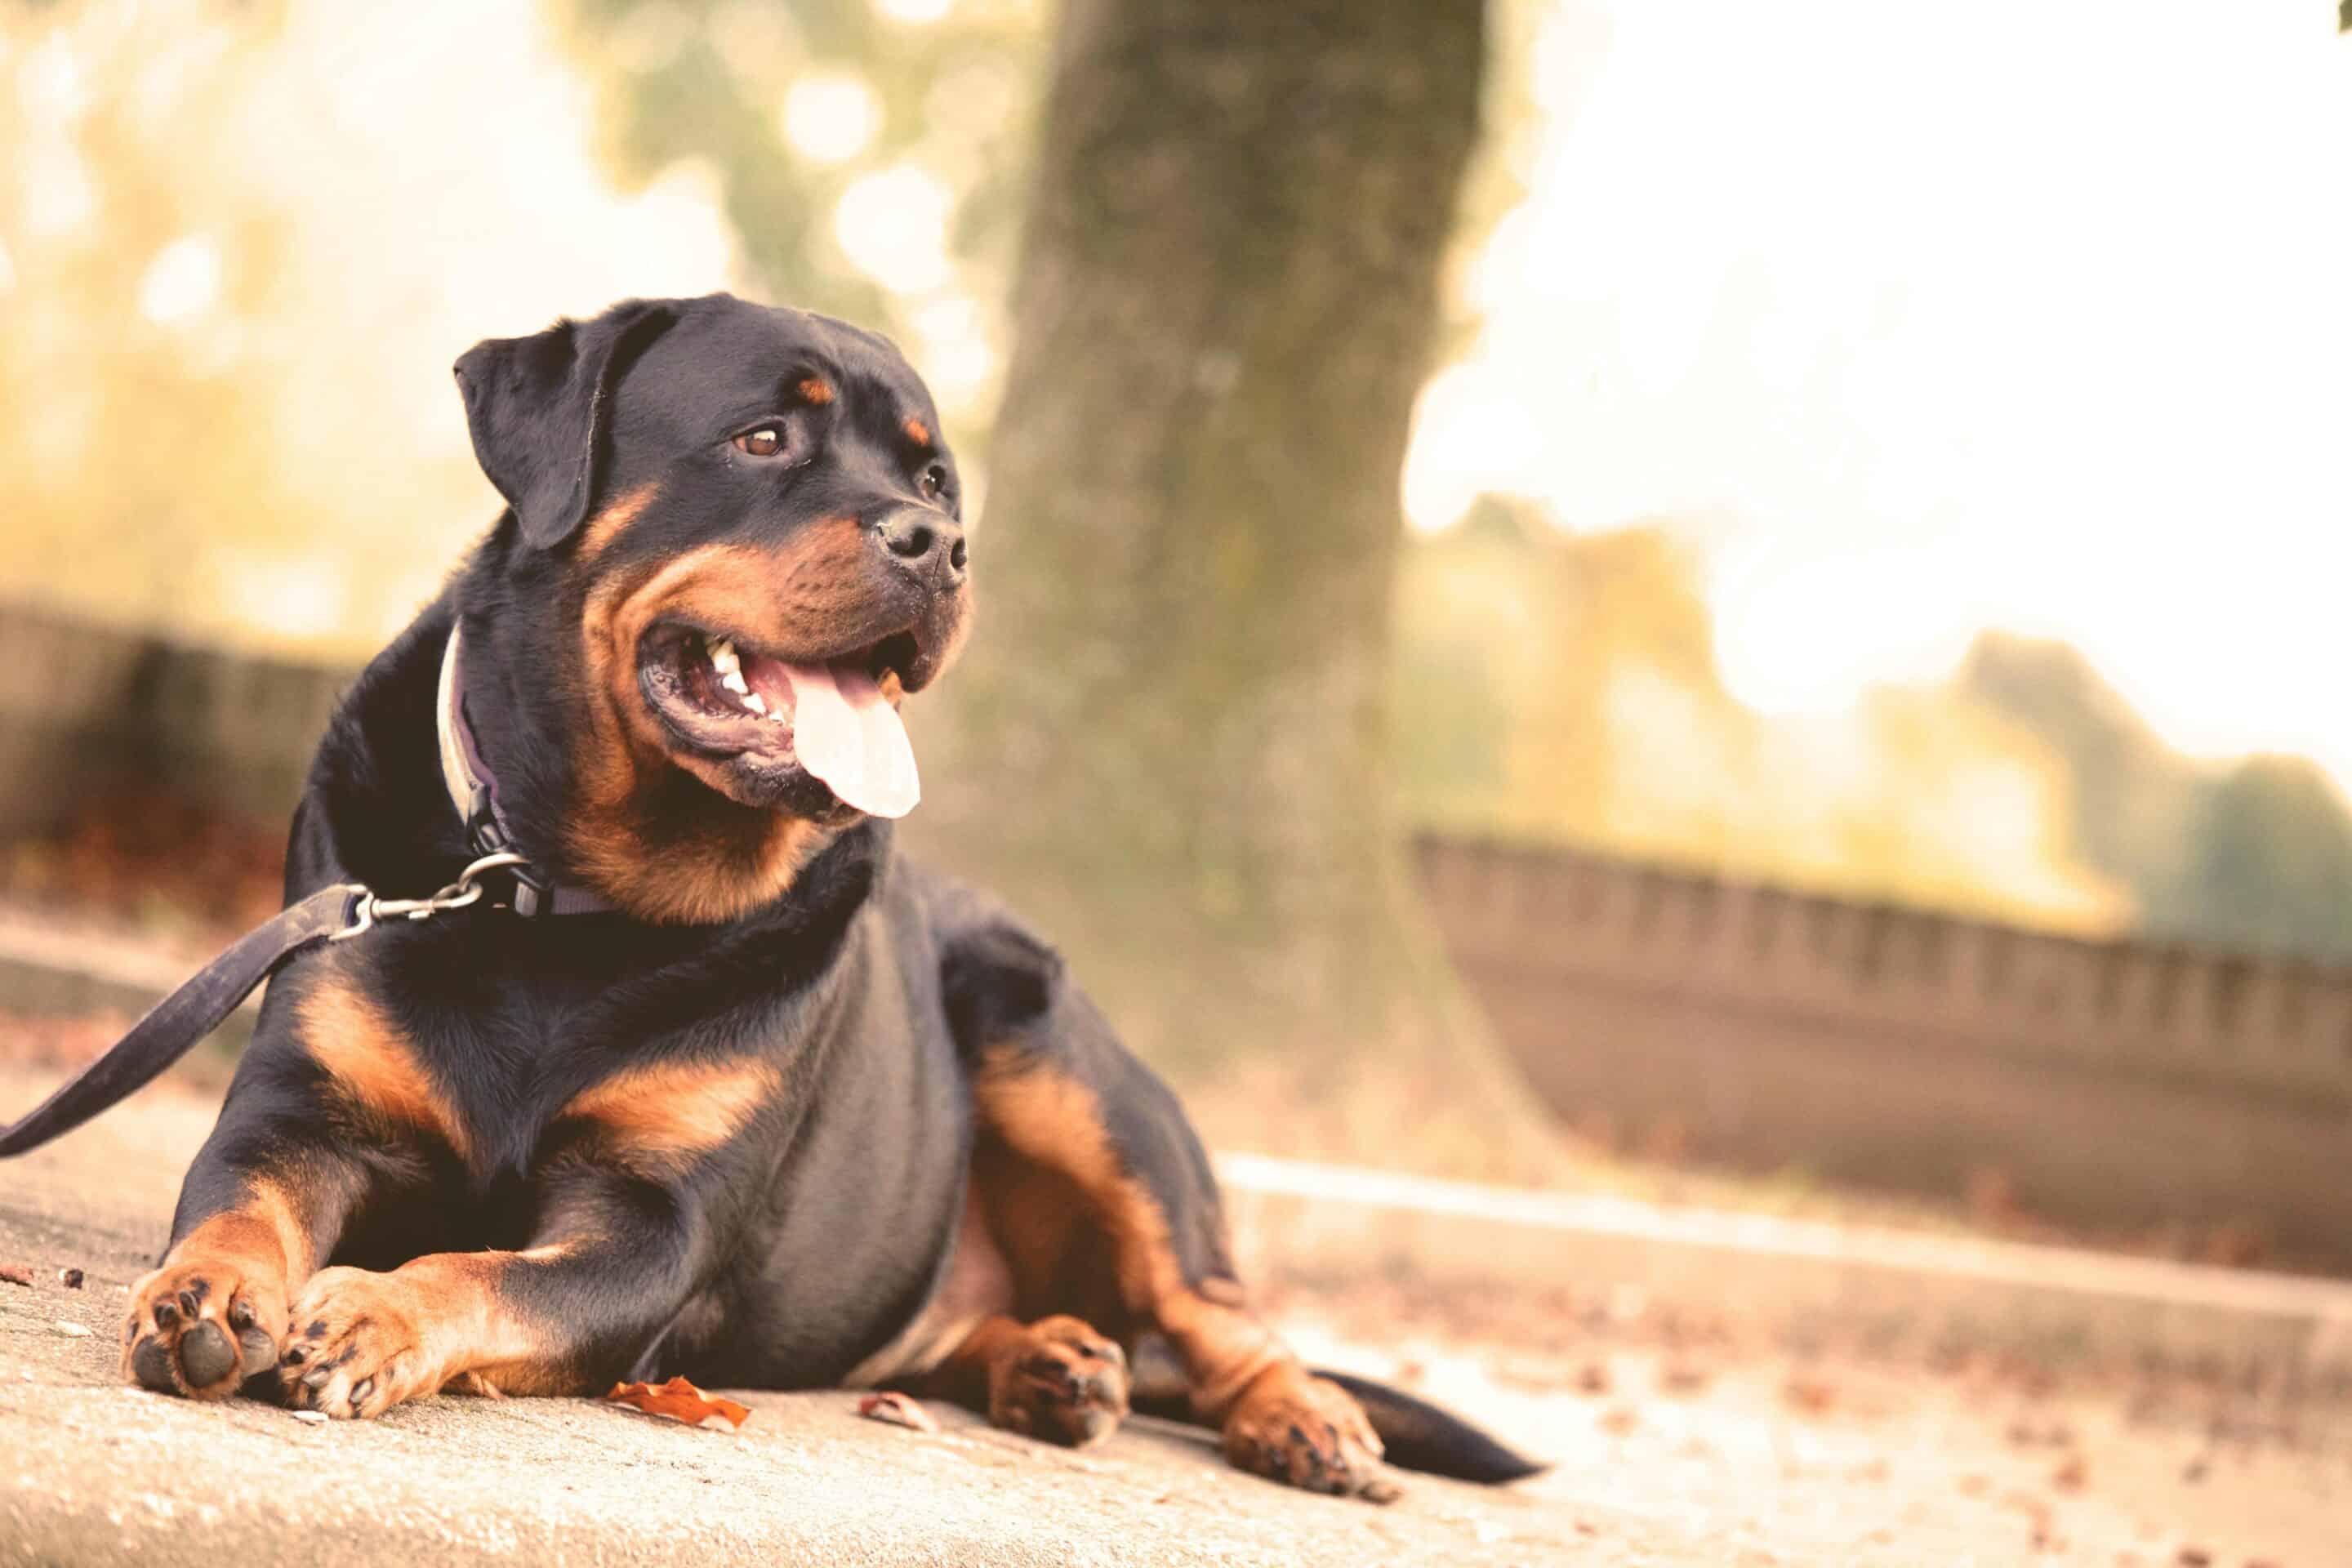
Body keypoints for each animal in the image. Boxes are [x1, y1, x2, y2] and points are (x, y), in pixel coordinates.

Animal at [114, 297, 1543, 1504]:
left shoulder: (652, 1227)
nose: (941, 545)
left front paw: (372, 1310)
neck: (564, 893)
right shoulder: (303, 1108)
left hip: (1061, 1061)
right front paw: (208, 1296)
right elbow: (238, 1197)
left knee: (1219, 1311)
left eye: (933, 481)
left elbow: (487, 1271)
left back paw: (1298, 1418)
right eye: (763, 437)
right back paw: (1056, 1364)